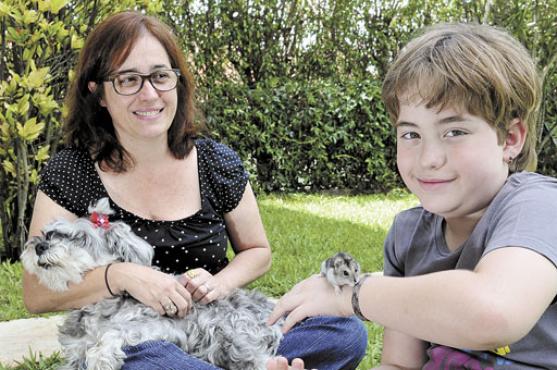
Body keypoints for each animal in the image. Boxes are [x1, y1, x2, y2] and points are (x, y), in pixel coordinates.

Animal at [21, 199, 282, 370]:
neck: (98, 307)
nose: (39, 246)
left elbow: (115, 332)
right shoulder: (74, 353)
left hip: (231, 335)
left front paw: (101, 357)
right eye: (48, 233)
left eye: (81, 239)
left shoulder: (161, 326)